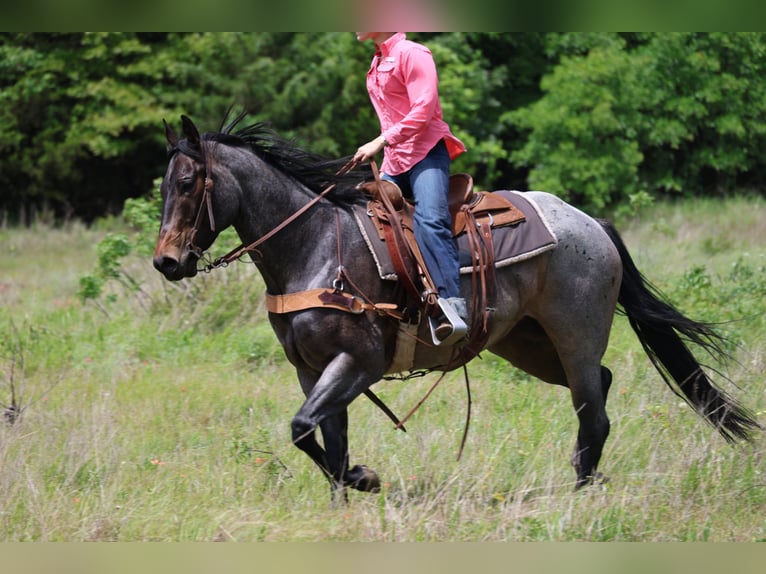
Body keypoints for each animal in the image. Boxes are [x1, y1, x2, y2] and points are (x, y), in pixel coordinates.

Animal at [153, 113, 760, 500]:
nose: (166, 262)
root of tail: (591, 223)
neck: (317, 246)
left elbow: (308, 429)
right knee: (601, 389)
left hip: (576, 337)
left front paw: (366, 479)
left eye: (188, 182)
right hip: (527, 345)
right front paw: (346, 495)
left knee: (594, 409)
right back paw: (584, 480)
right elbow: (321, 434)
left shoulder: (359, 363)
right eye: (163, 185)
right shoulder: (312, 370)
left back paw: (582, 493)